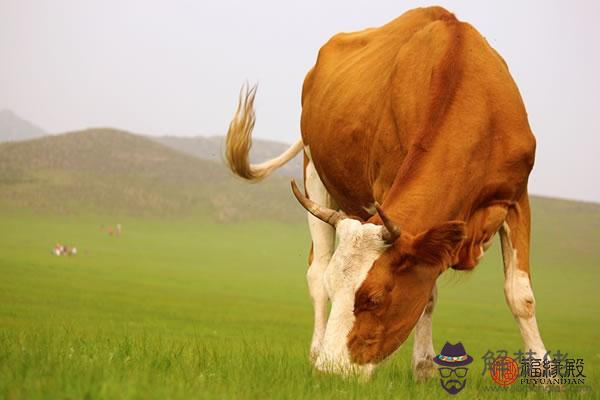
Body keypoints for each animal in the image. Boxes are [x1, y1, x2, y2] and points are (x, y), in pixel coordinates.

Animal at [223, 6, 548, 378]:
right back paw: (316, 349)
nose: (331, 371)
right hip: (313, 173)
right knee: (316, 271)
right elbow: (427, 295)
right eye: (339, 292)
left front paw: (546, 376)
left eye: (374, 298)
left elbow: (520, 295)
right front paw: (424, 367)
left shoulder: (517, 198)